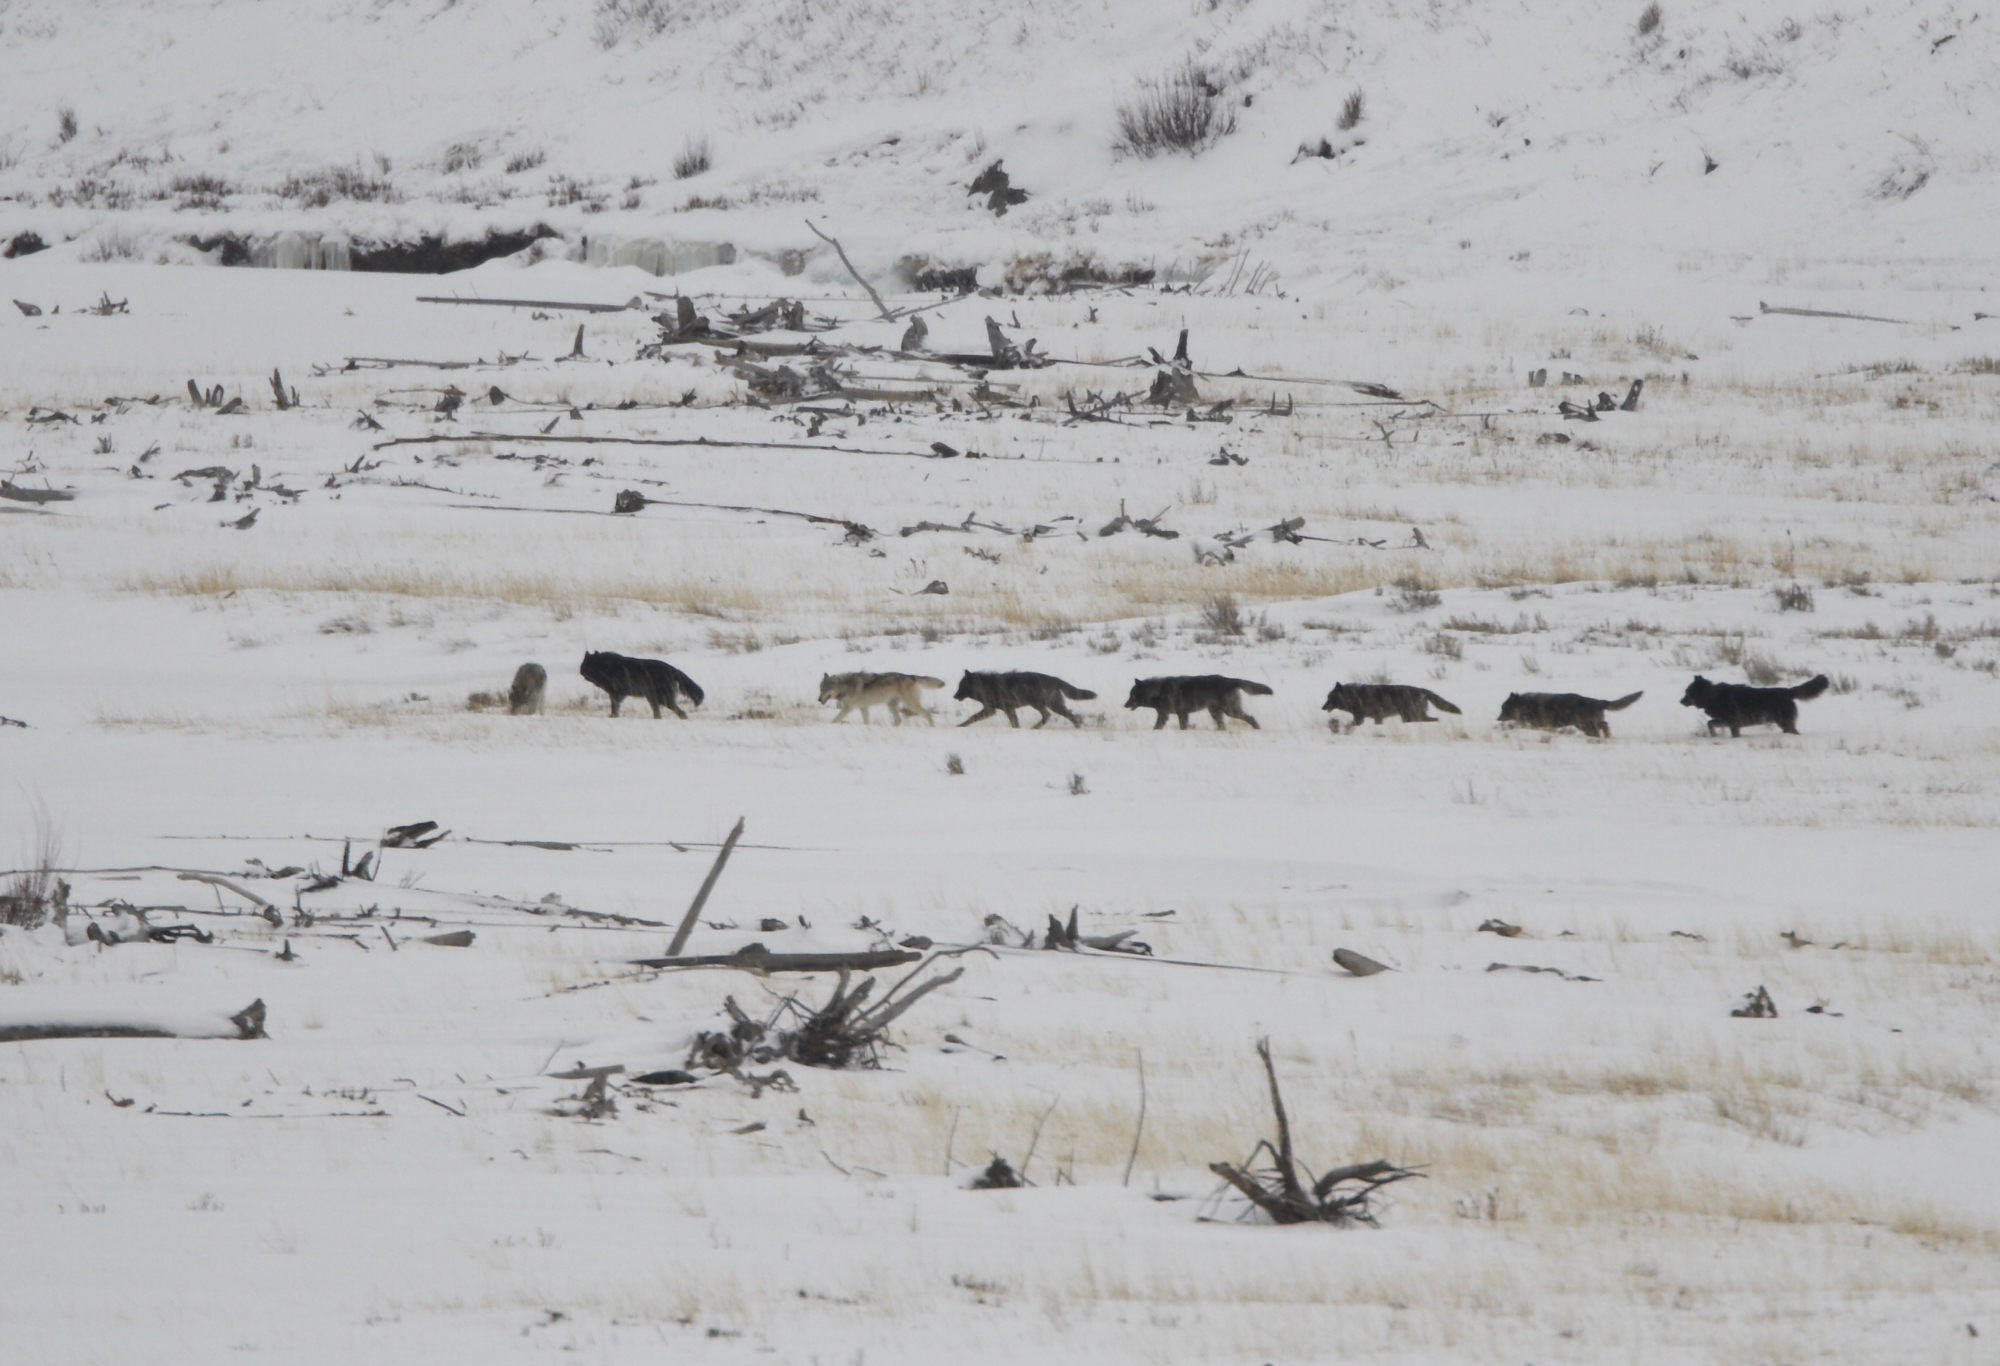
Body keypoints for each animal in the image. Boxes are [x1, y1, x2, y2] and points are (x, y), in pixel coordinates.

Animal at [955, 671, 1097, 728]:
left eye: (961, 686)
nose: (954, 696)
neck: (986, 686)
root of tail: (1055, 679)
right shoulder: (1003, 709)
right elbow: (1015, 722)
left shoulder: (994, 709)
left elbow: (972, 718)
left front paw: (960, 726)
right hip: (1054, 706)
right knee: (1071, 716)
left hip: (1041, 705)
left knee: (1048, 716)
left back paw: (1035, 728)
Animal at [1124, 675, 1271, 730]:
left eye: (1132, 696)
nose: (1124, 705)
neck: (1158, 691)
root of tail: (1230, 679)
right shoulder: (1177, 714)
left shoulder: (1171, 714)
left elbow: (1160, 726)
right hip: (1216, 712)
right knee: (1222, 725)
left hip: (1230, 711)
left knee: (1250, 717)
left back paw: (1257, 728)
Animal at [1321, 682, 1461, 732]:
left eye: (1329, 698)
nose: (1322, 707)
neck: (1354, 696)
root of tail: (1424, 690)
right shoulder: (1368, 719)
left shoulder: (1366, 718)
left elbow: (1349, 725)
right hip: (1407, 717)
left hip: (1410, 716)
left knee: (1434, 719)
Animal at [1497, 690, 1642, 739]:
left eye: (1504, 707)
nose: (1497, 719)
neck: (1526, 705)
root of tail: (1599, 701)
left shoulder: (1535, 724)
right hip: (1589, 724)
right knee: (1605, 725)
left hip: (1585, 725)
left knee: (1600, 729)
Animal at [1680, 674, 1829, 737]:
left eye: (1687, 693)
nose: (1680, 701)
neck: (1713, 696)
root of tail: (1788, 691)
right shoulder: (1733, 725)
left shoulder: (1731, 721)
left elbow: (1710, 723)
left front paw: (1714, 735)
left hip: (1784, 723)